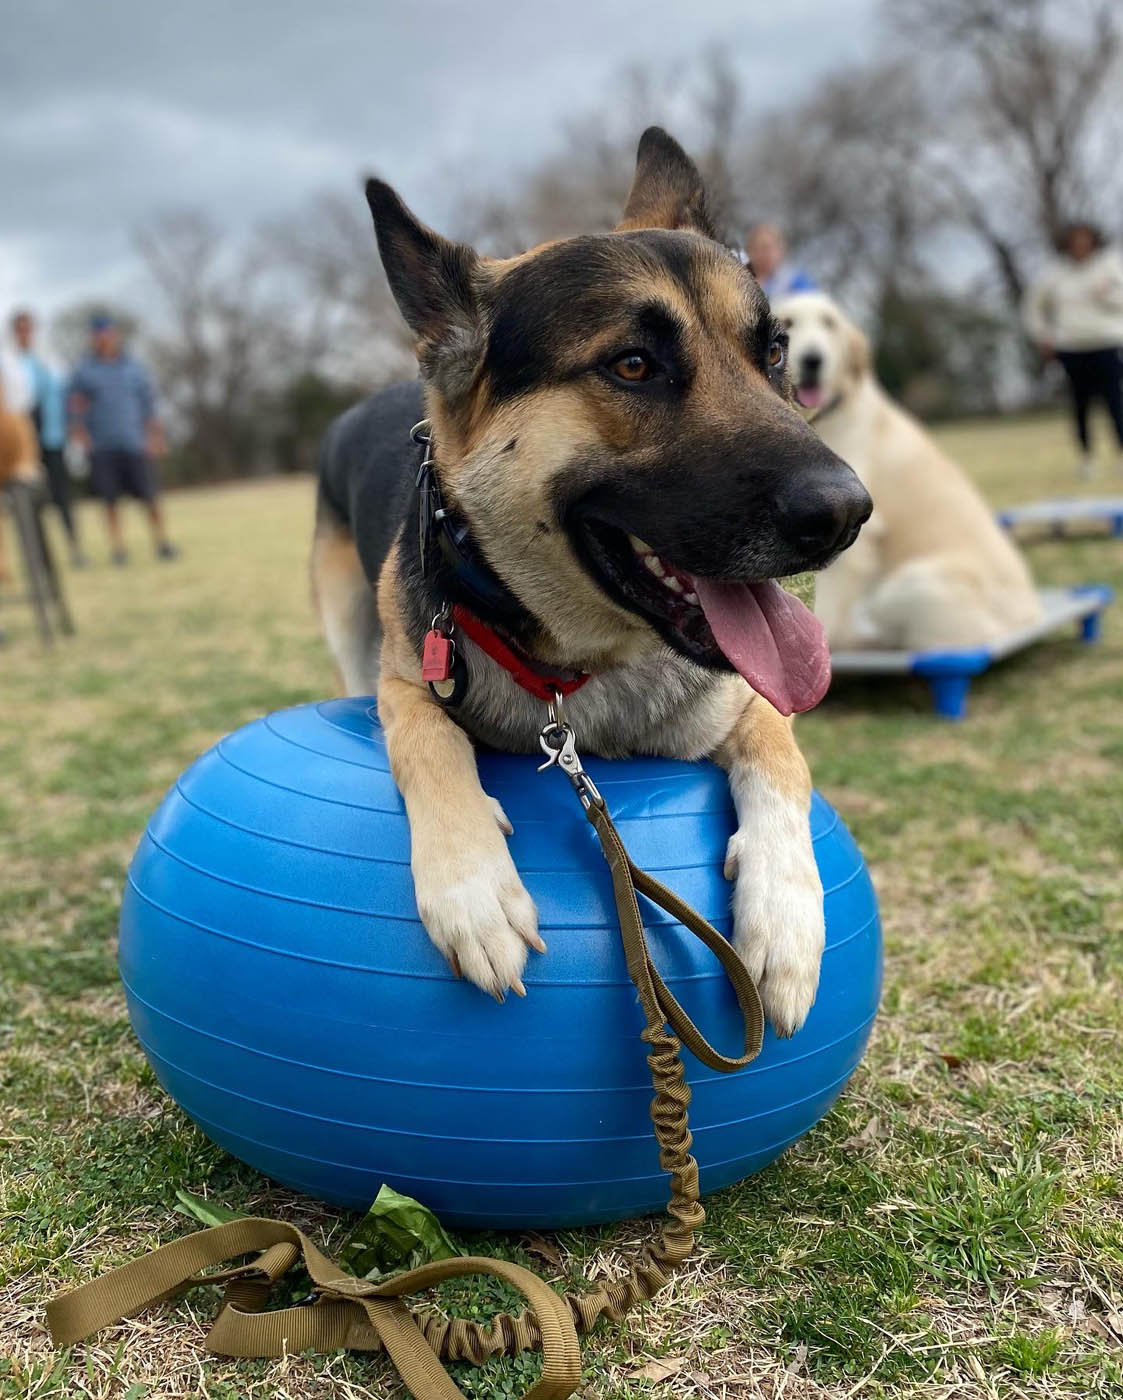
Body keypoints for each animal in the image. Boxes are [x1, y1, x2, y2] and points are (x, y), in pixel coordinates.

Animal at [310, 126, 868, 1036]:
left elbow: (781, 754)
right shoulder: (408, 678)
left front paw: (785, 915)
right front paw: (472, 889)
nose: (848, 512)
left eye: (773, 352)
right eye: (633, 365)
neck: (587, 668)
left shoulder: (746, 702)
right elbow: (425, 738)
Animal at [772, 292, 1036, 652]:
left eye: (829, 323)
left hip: (905, 585)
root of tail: (1031, 616)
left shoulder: (852, 521)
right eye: (789, 323)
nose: (814, 360)